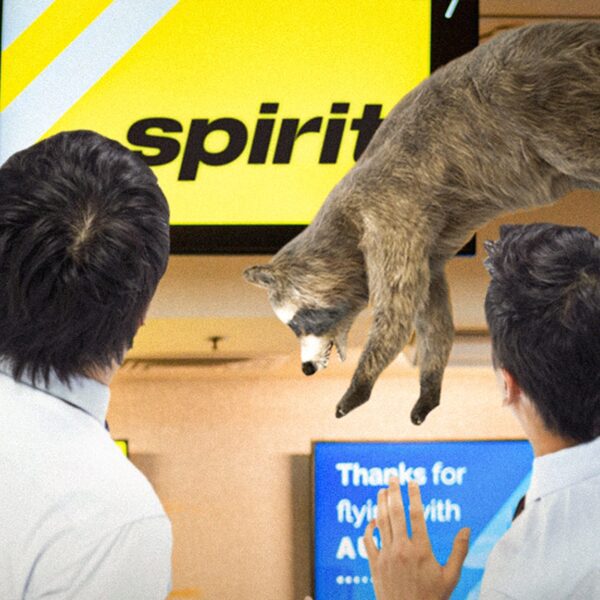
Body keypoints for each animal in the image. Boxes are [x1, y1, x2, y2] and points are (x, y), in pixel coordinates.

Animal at [243, 22, 600, 422]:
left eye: (299, 322)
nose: (305, 368)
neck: (341, 232)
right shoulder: (425, 246)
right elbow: (431, 313)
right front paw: (429, 382)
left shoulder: (390, 214)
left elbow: (397, 311)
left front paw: (361, 381)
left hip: (549, 101)